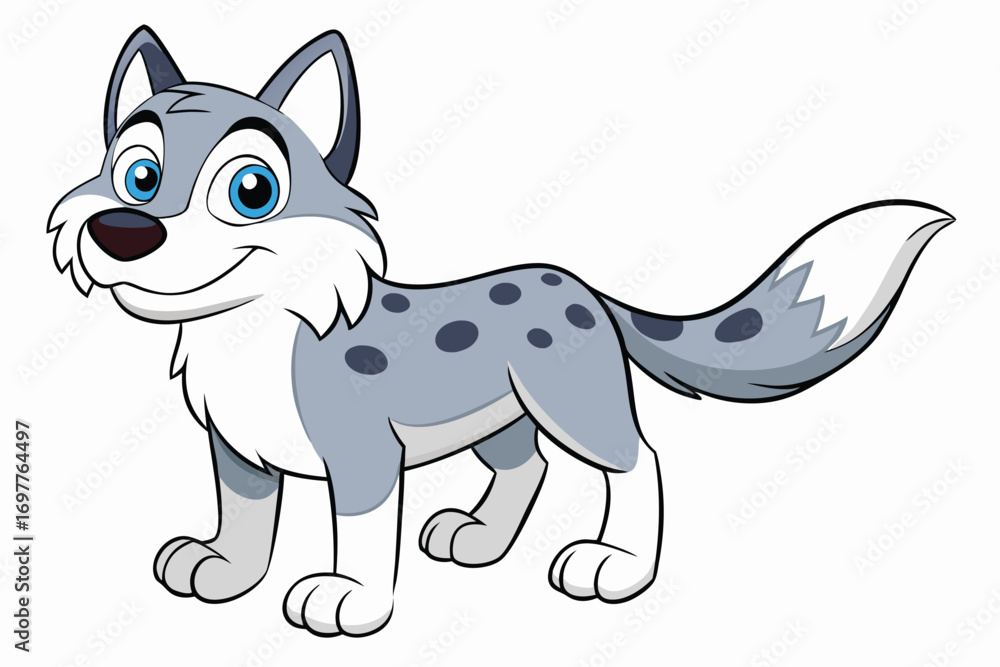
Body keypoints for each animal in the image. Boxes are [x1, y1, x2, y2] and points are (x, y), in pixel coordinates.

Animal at [48, 26, 954, 637]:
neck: (255, 335)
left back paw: (617, 567)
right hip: (503, 419)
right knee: (527, 468)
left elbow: (362, 536)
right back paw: (479, 538)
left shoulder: (364, 459)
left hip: (575, 407)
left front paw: (350, 601)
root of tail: (581, 286)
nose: (123, 231)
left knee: (640, 461)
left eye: (251, 190)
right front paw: (224, 572)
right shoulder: (235, 449)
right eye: (137, 173)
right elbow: (244, 515)